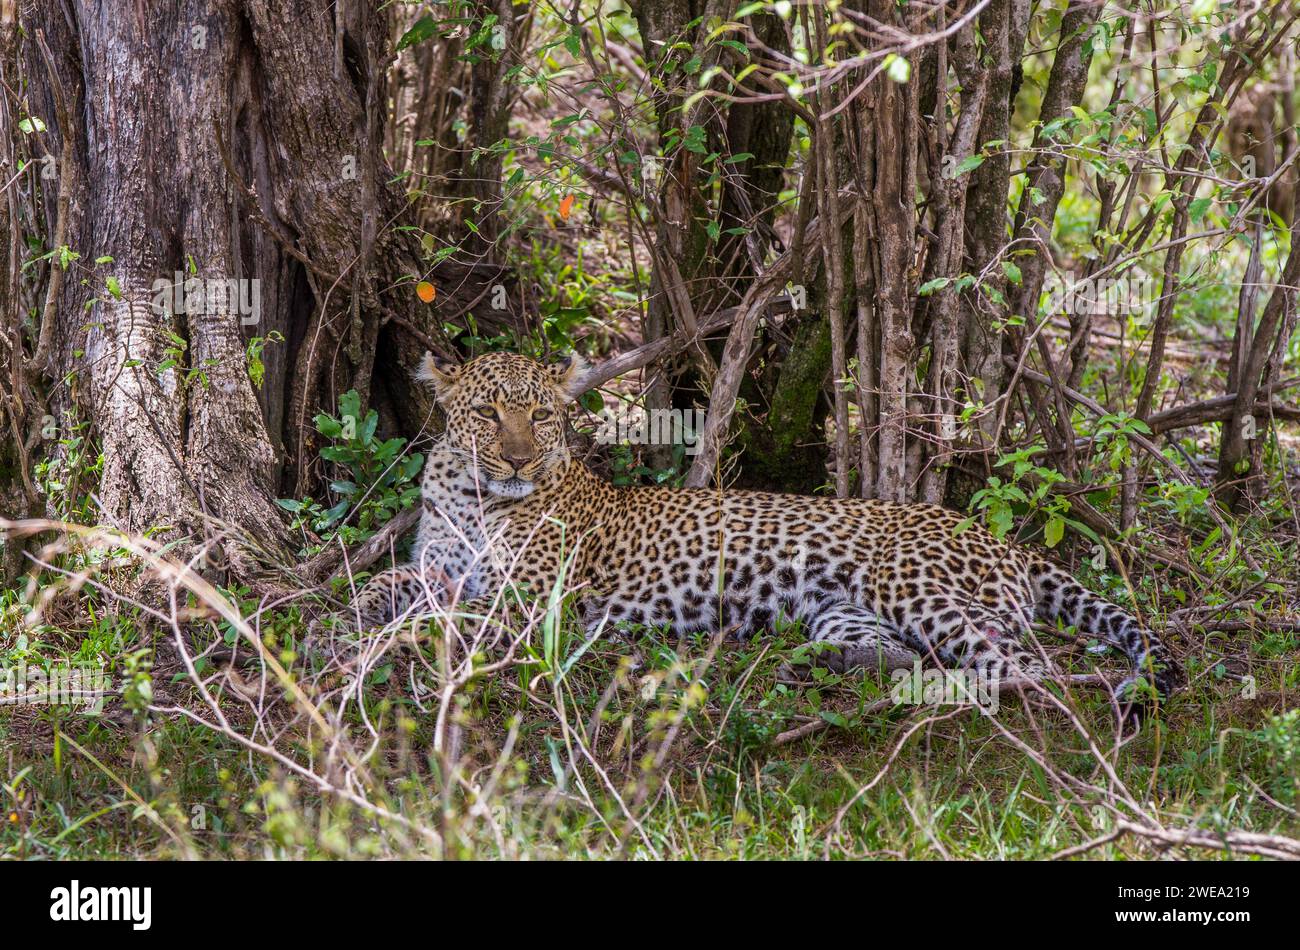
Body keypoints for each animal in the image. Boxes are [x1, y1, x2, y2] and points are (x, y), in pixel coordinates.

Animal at [343, 350, 1182, 706]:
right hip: (845, 609)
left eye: (542, 415)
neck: (472, 492)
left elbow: (453, 615)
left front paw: (384, 633)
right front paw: (353, 610)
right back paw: (841, 670)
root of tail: (996, 537)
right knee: (906, 651)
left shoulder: (528, 601)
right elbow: (400, 581)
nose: (518, 457)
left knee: (1026, 663)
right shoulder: (442, 561)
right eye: (489, 414)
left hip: (915, 585)